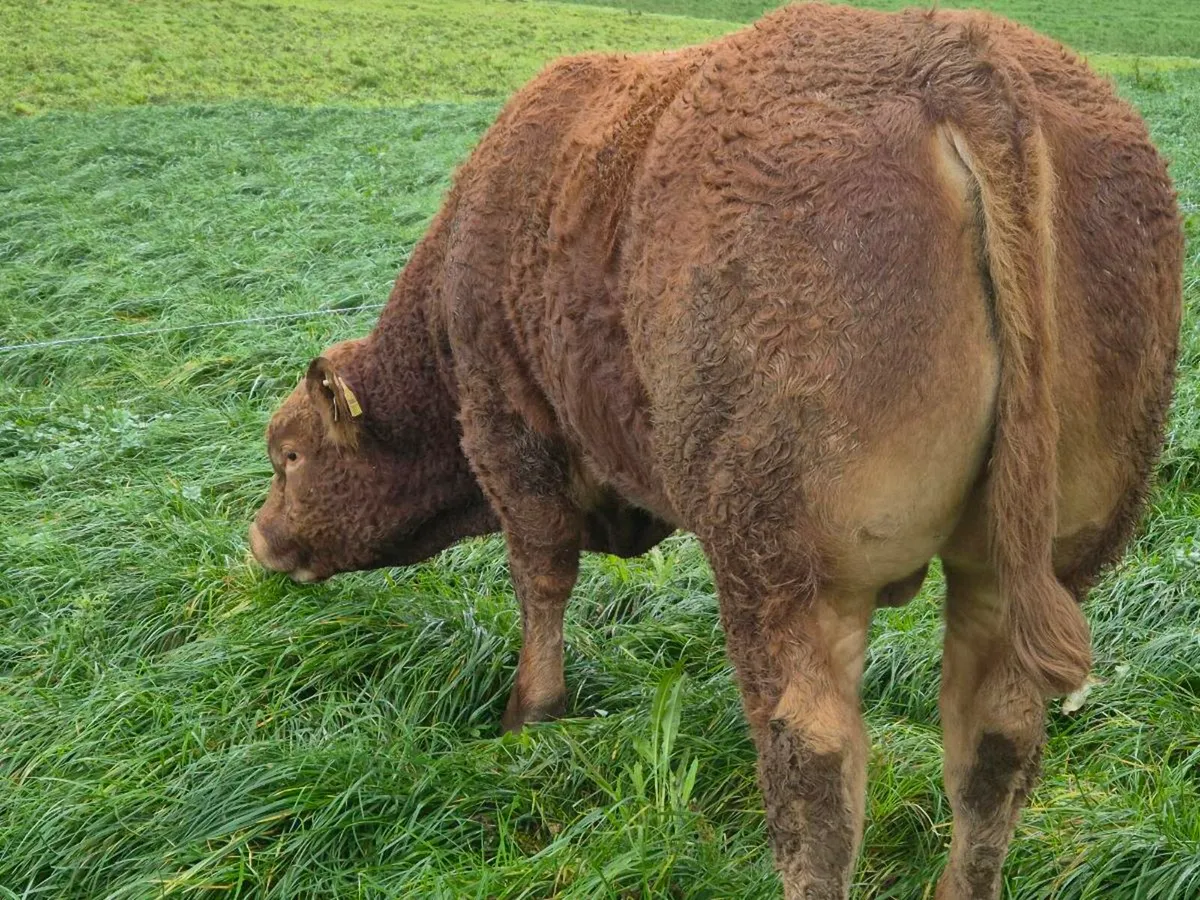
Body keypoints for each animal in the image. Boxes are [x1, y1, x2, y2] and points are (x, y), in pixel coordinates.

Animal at [247, 4, 1183, 897]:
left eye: (287, 454)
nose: (257, 538)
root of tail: (956, 59)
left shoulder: (511, 437)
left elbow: (541, 580)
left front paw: (529, 718)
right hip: (1027, 560)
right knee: (993, 748)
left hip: (785, 564)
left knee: (814, 765)